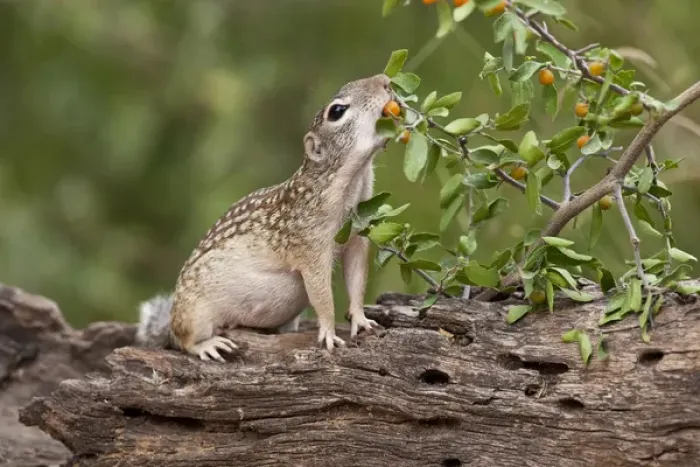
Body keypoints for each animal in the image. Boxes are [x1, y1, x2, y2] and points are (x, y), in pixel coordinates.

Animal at [134, 73, 394, 362]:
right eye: (336, 111)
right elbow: (322, 295)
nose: (385, 80)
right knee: (184, 340)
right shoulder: (310, 249)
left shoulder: (357, 239)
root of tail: (171, 321)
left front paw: (360, 319)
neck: (352, 182)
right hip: (195, 314)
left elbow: (357, 278)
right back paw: (207, 345)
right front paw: (328, 332)